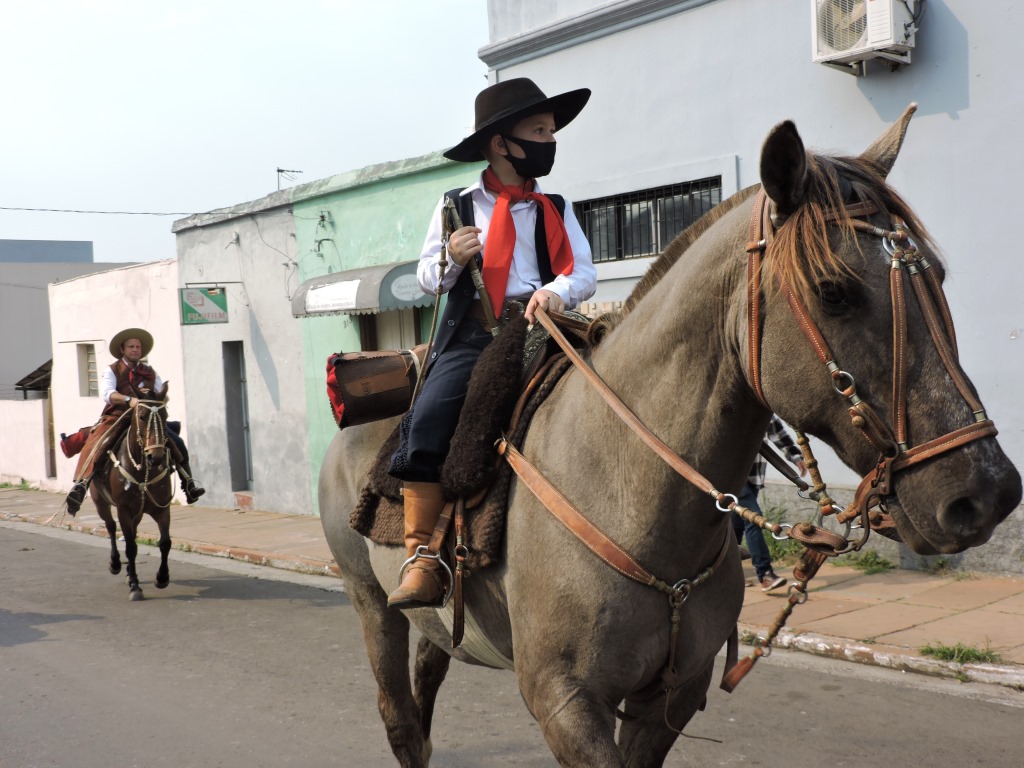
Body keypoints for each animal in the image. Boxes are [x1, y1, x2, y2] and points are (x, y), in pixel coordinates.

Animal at [92, 391, 174, 602]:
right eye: (142, 416)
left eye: (165, 416)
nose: (156, 457)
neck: (143, 469)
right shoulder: (124, 511)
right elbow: (130, 547)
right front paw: (135, 586)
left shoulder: (162, 509)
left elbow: (165, 543)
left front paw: (162, 578)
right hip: (101, 503)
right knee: (111, 527)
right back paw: (115, 564)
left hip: (137, 513)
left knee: (133, 533)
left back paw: (129, 571)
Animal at [317, 109, 1015, 768]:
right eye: (833, 291)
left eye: (938, 277)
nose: (987, 492)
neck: (629, 491)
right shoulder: (565, 701)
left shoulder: (673, 695)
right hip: (371, 602)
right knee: (400, 717)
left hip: (436, 627)